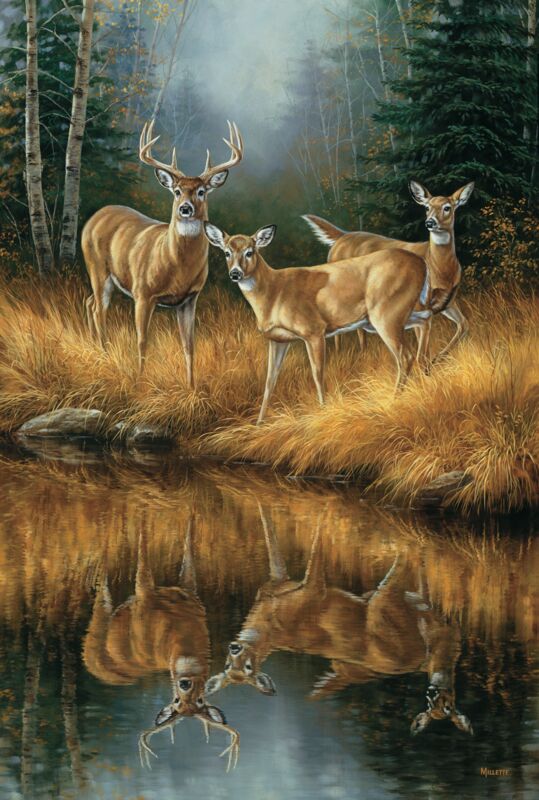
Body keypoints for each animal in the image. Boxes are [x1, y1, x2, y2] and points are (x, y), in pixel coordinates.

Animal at [81, 120, 244, 384]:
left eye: (201, 191)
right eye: (177, 191)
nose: (185, 208)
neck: (177, 267)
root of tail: (94, 216)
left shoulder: (190, 298)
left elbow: (189, 345)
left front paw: (191, 386)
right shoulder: (143, 293)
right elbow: (142, 340)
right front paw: (140, 380)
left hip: (107, 278)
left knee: (88, 302)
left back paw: (95, 347)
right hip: (97, 268)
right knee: (98, 309)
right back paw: (103, 355)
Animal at [82, 514, 240, 771]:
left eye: (200, 700)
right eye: (176, 700)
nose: (185, 683)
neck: (179, 632)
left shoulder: (189, 590)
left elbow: (188, 551)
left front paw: (190, 516)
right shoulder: (144, 595)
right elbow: (143, 556)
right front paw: (144, 517)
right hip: (96, 631)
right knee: (102, 594)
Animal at [204, 222, 432, 423]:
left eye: (250, 252)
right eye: (226, 252)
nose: (235, 273)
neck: (273, 294)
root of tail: (422, 263)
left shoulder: (313, 329)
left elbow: (317, 373)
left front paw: (322, 410)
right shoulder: (278, 339)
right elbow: (270, 381)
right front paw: (259, 422)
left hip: (385, 312)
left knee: (405, 354)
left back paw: (395, 400)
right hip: (396, 313)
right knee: (425, 322)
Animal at [205, 504, 473, 737]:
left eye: (248, 668)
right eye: (228, 667)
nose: (235, 647)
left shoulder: (312, 588)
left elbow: (306, 544)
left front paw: (322, 514)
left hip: (381, 609)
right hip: (383, 609)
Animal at [303, 181, 474, 368]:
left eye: (447, 207)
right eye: (427, 207)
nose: (430, 222)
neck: (440, 268)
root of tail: (342, 236)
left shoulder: (448, 301)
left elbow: (464, 325)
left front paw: (437, 360)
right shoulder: (419, 305)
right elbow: (422, 348)